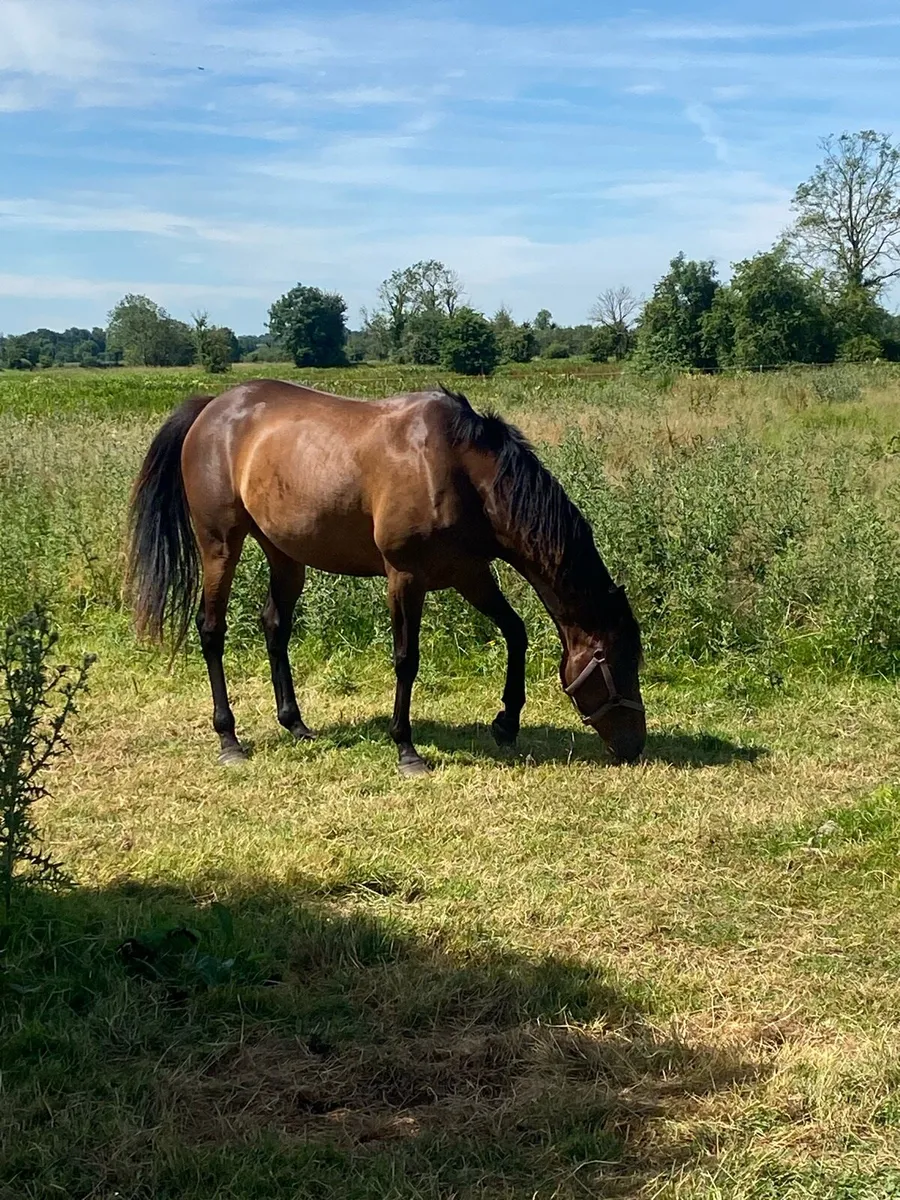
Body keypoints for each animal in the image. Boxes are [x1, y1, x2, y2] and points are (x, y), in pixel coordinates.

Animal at [126, 380, 645, 774]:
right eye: (617, 663)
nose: (635, 746)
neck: (458, 469)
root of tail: (212, 407)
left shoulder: (469, 573)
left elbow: (515, 633)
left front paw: (506, 722)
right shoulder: (405, 577)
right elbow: (406, 660)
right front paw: (406, 748)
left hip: (284, 553)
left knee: (275, 626)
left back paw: (295, 723)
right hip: (219, 545)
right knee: (212, 631)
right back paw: (229, 740)